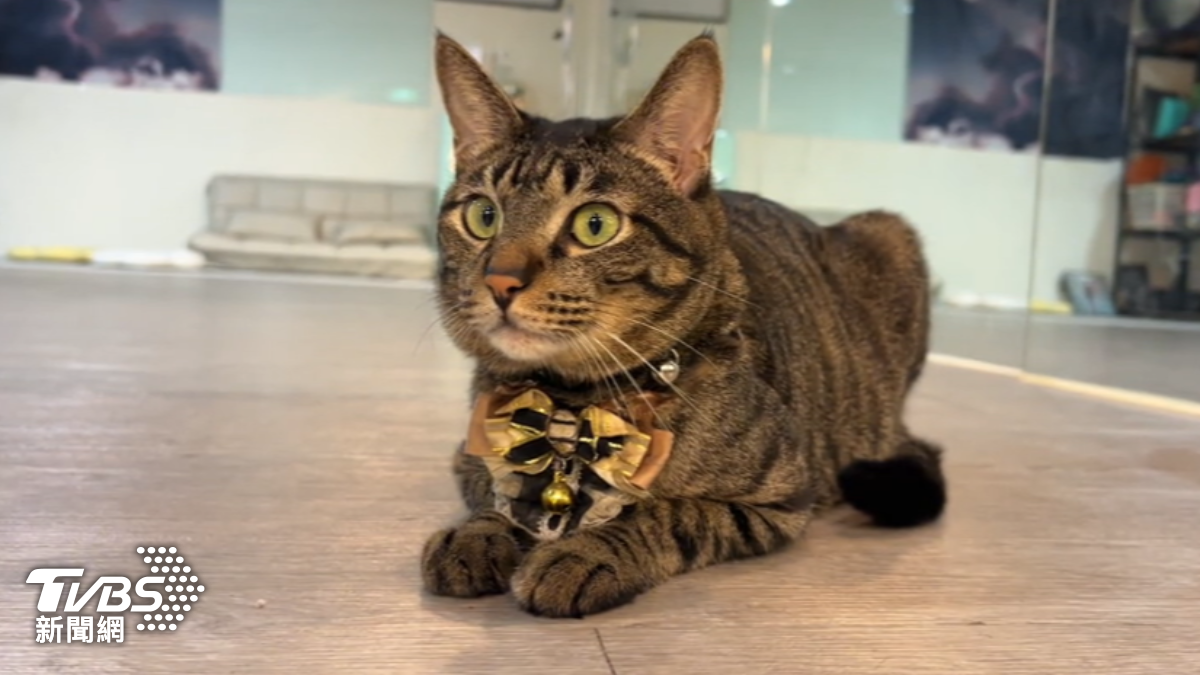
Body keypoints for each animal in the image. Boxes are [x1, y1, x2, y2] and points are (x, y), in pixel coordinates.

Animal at [421, 32, 947, 618]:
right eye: (483, 216)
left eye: (595, 224)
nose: (501, 282)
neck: (568, 407)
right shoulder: (467, 458)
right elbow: (496, 494)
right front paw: (476, 533)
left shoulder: (782, 497)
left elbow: (669, 513)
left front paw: (587, 552)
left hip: (891, 232)